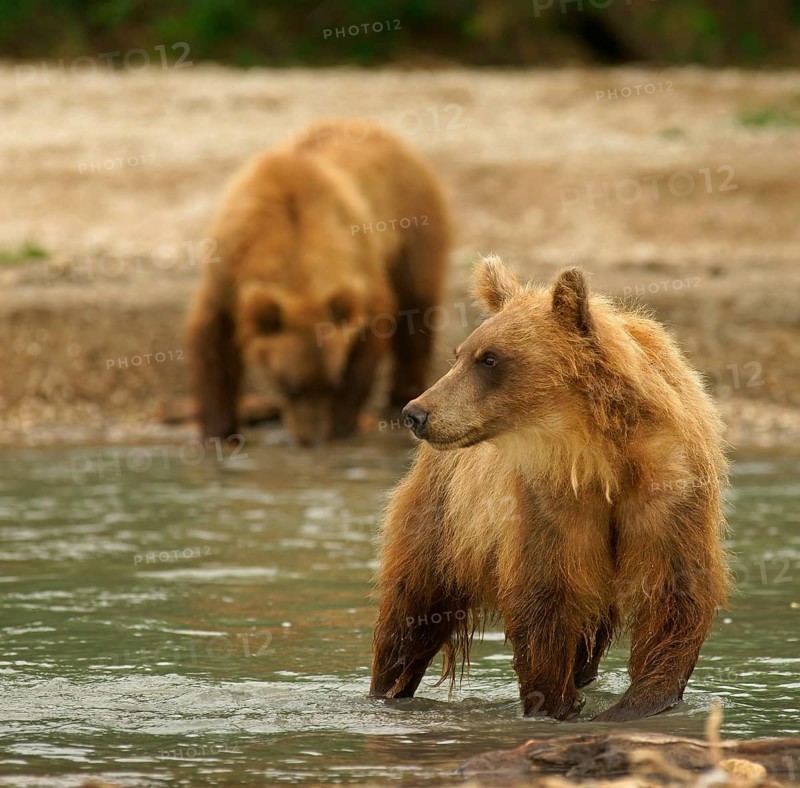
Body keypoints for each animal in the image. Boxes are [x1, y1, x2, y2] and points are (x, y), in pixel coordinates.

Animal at [186, 119, 450, 445]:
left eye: (330, 383)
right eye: (290, 386)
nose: (311, 438)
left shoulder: (357, 263)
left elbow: (371, 329)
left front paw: (341, 423)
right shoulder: (227, 270)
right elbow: (213, 341)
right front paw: (218, 432)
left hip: (413, 221)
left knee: (417, 303)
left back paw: (398, 399)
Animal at [370, 257, 729, 722]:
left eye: (489, 358)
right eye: (460, 354)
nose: (416, 412)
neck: (602, 460)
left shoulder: (672, 492)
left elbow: (673, 599)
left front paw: (632, 706)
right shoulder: (550, 504)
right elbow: (546, 602)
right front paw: (554, 706)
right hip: (444, 516)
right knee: (413, 608)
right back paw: (387, 689)